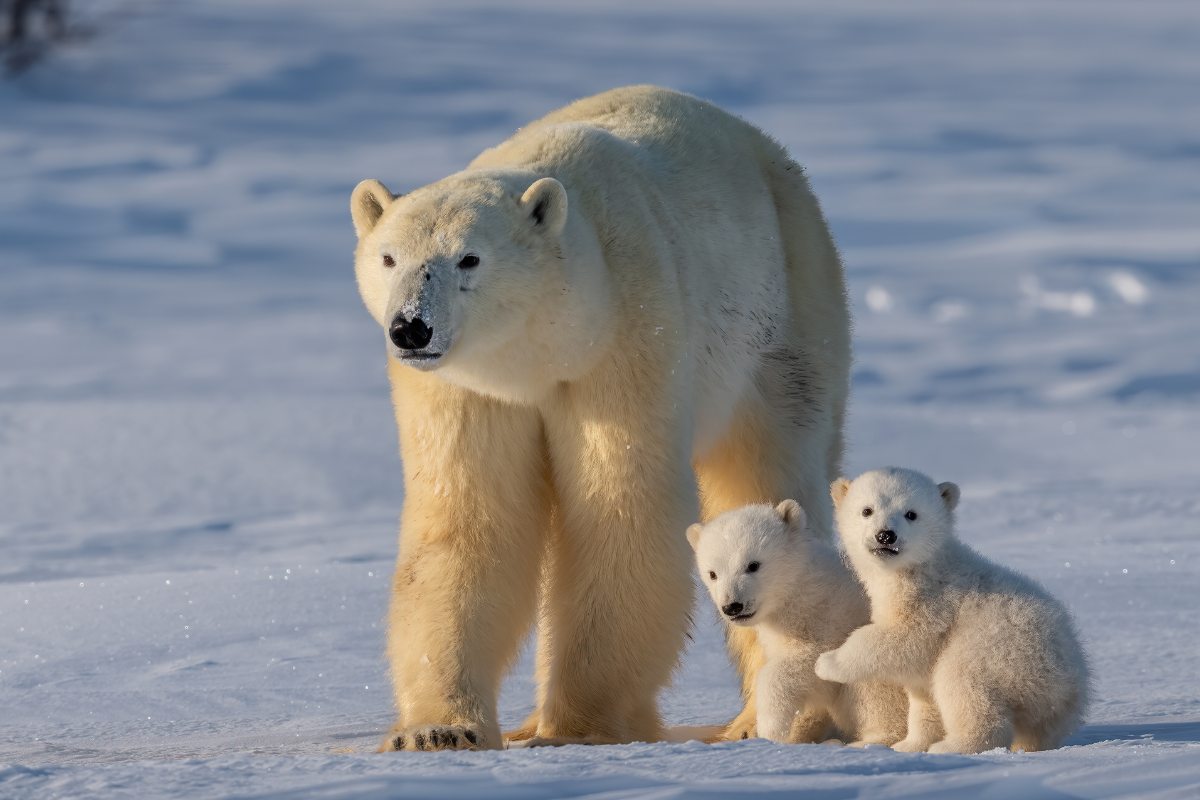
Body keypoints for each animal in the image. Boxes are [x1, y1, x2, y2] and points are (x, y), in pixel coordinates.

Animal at [349, 86, 851, 751]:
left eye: (469, 258)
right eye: (388, 257)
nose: (411, 327)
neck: (543, 351)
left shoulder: (626, 336)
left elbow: (620, 511)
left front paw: (578, 729)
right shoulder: (467, 388)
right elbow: (468, 521)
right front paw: (438, 730)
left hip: (785, 314)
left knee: (768, 469)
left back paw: (763, 721)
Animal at [687, 500, 907, 746]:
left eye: (753, 565)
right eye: (712, 573)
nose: (732, 606)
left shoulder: (833, 618)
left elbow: (811, 665)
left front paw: (771, 728)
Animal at [814, 467, 1091, 754]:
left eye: (911, 513)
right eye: (867, 510)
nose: (886, 535)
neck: (921, 567)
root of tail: (1070, 683)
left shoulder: (933, 603)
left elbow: (902, 639)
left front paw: (827, 662)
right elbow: (923, 695)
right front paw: (909, 745)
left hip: (1000, 651)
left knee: (960, 682)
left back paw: (952, 745)